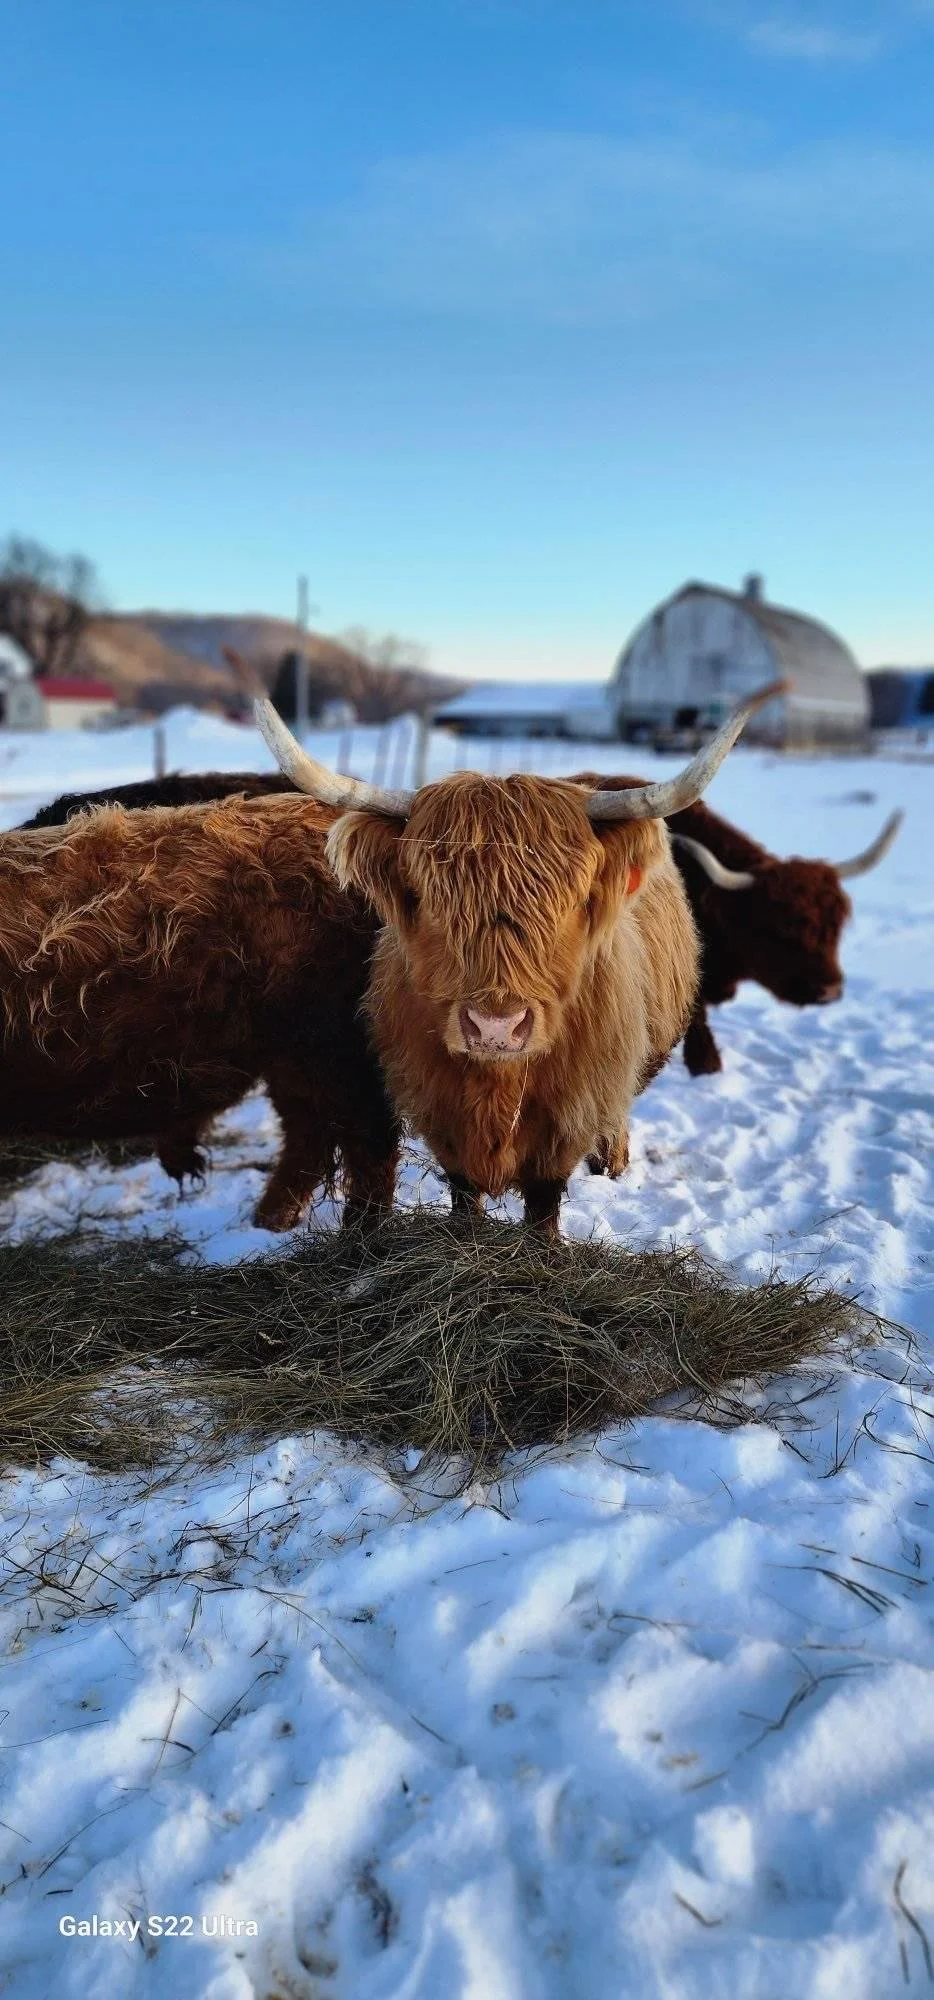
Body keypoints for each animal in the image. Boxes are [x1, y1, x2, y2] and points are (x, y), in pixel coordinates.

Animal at [0, 794, 400, 1230]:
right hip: (286, 1049)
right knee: (309, 1126)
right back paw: (270, 1222)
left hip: (324, 1036)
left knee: (368, 1129)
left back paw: (360, 1233)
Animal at [252, 683, 780, 1235]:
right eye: (427, 897)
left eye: (574, 900)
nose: (496, 1027)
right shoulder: (436, 1102)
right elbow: (463, 1187)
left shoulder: (572, 1107)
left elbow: (545, 1195)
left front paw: (545, 1245)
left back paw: (612, 1163)